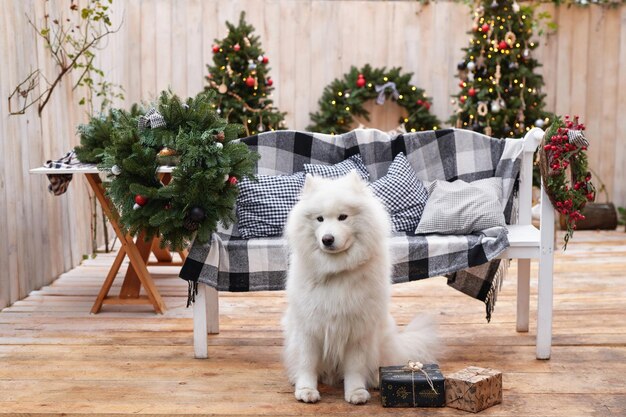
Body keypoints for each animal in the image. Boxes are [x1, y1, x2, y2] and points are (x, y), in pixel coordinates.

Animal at [280, 169, 436, 404]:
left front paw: (356, 392)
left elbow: (355, 366)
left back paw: (375, 380)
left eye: (343, 217)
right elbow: (307, 362)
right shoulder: (309, 327)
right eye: (319, 219)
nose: (327, 239)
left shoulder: (358, 329)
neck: (336, 271)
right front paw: (306, 390)